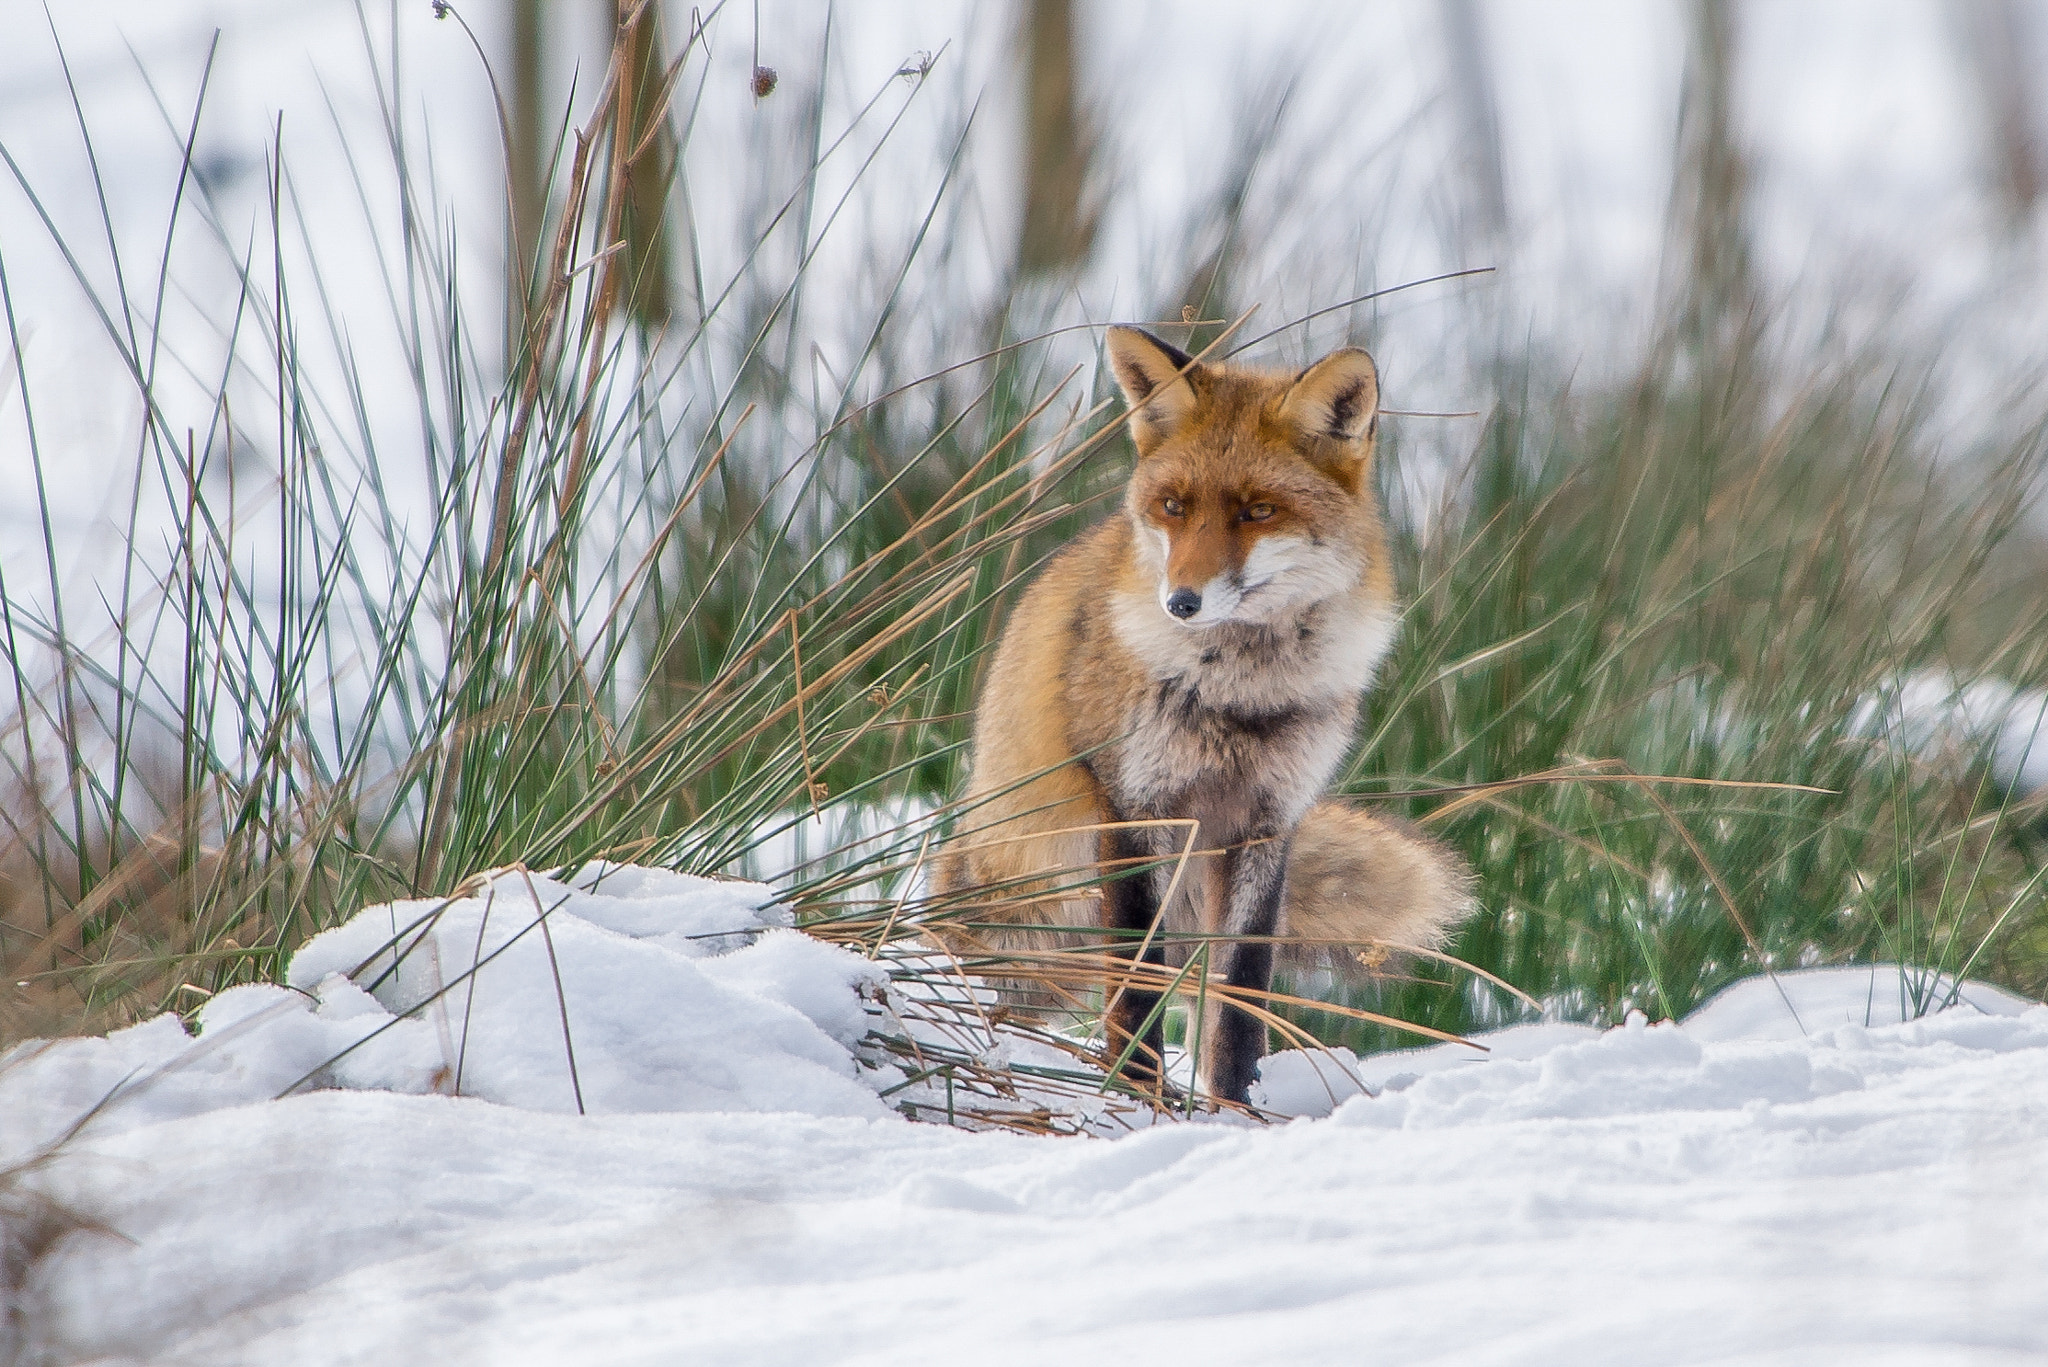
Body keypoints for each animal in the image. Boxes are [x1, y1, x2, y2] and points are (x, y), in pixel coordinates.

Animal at [932, 325, 1475, 1106]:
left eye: (1259, 511)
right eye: (1173, 506)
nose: (1181, 602)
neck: (1240, 697)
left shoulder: (1266, 821)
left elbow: (1240, 1000)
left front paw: (1236, 1110)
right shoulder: (1135, 808)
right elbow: (1137, 986)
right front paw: (1137, 1103)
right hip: (1021, 913)